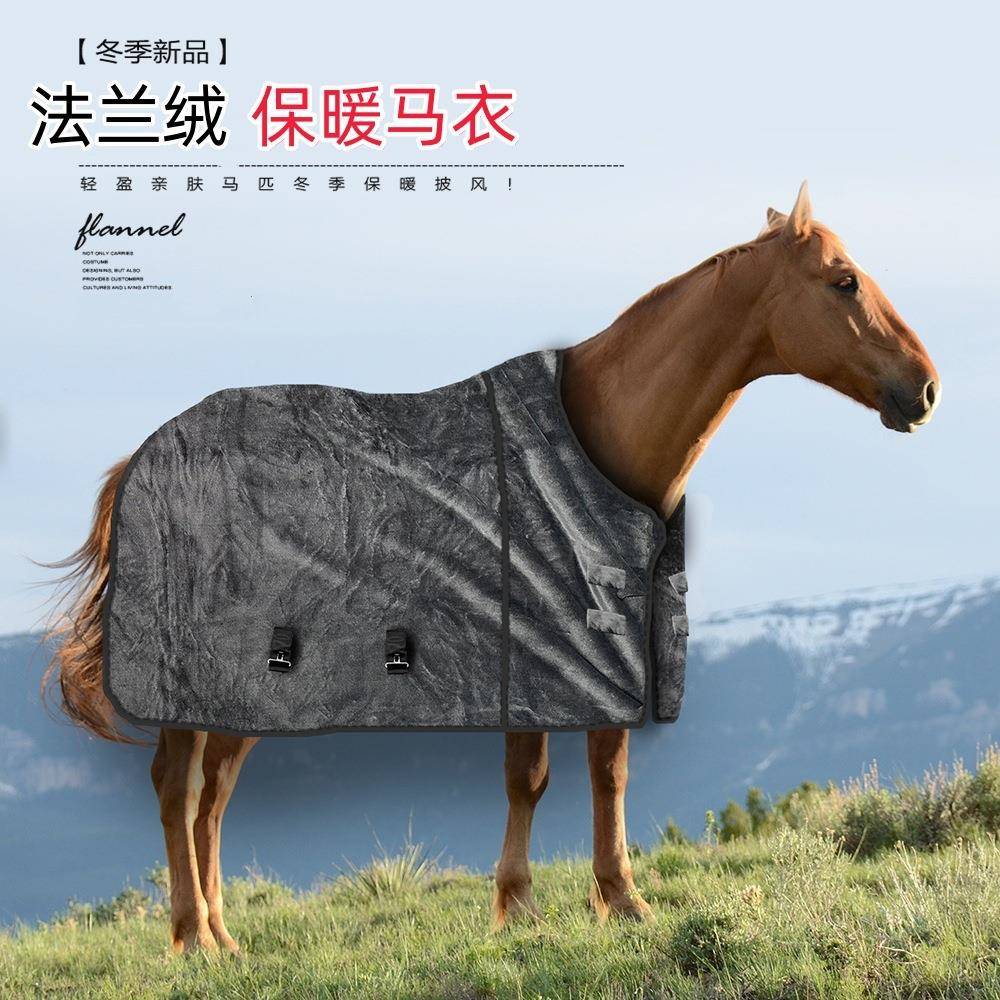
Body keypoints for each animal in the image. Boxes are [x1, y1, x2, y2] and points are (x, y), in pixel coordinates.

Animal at [44, 183, 940, 954]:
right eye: (843, 281)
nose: (925, 388)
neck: (592, 438)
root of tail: (142, 458)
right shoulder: (530, 648)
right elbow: (530, 777)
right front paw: (519, 905)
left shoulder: (599, 645)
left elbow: (607, 770)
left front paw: (621, 899)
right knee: (177, 788)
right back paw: (192, 938)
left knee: (211, 801)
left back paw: (224, 937)